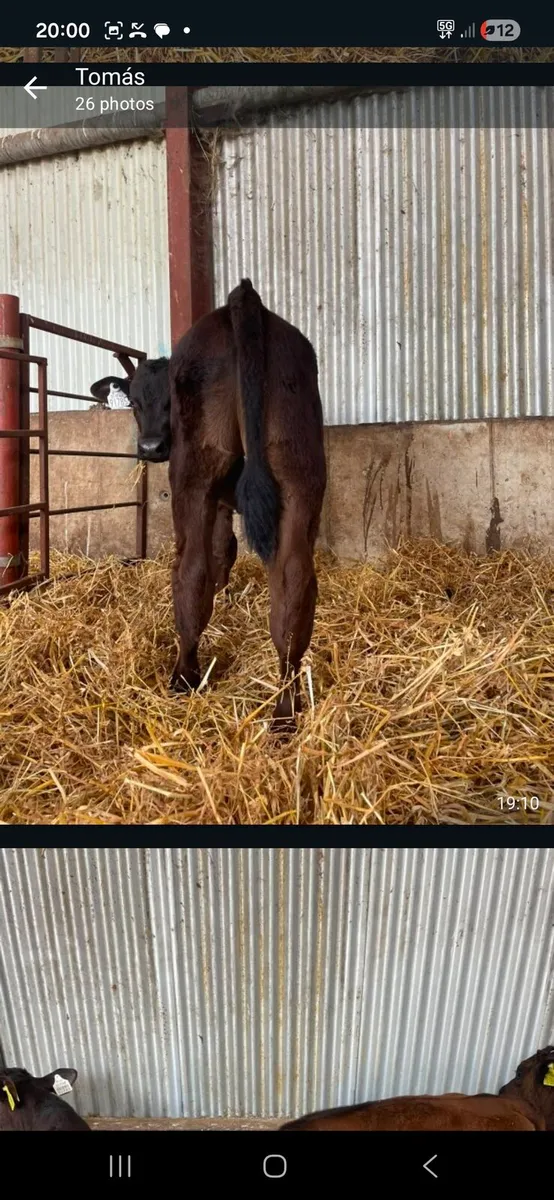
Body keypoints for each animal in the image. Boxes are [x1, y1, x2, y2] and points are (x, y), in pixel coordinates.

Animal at [91, 280, 327, 729]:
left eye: (167, 402)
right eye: (134, 402)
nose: (150, 447)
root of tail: (244, 299)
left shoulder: (214, 501)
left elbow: (218, 554)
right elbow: (228, 553)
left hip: (194, 475)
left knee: (190, 570)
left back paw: (185, 676)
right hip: (299, 472)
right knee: (293, 583)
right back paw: (285, 710)